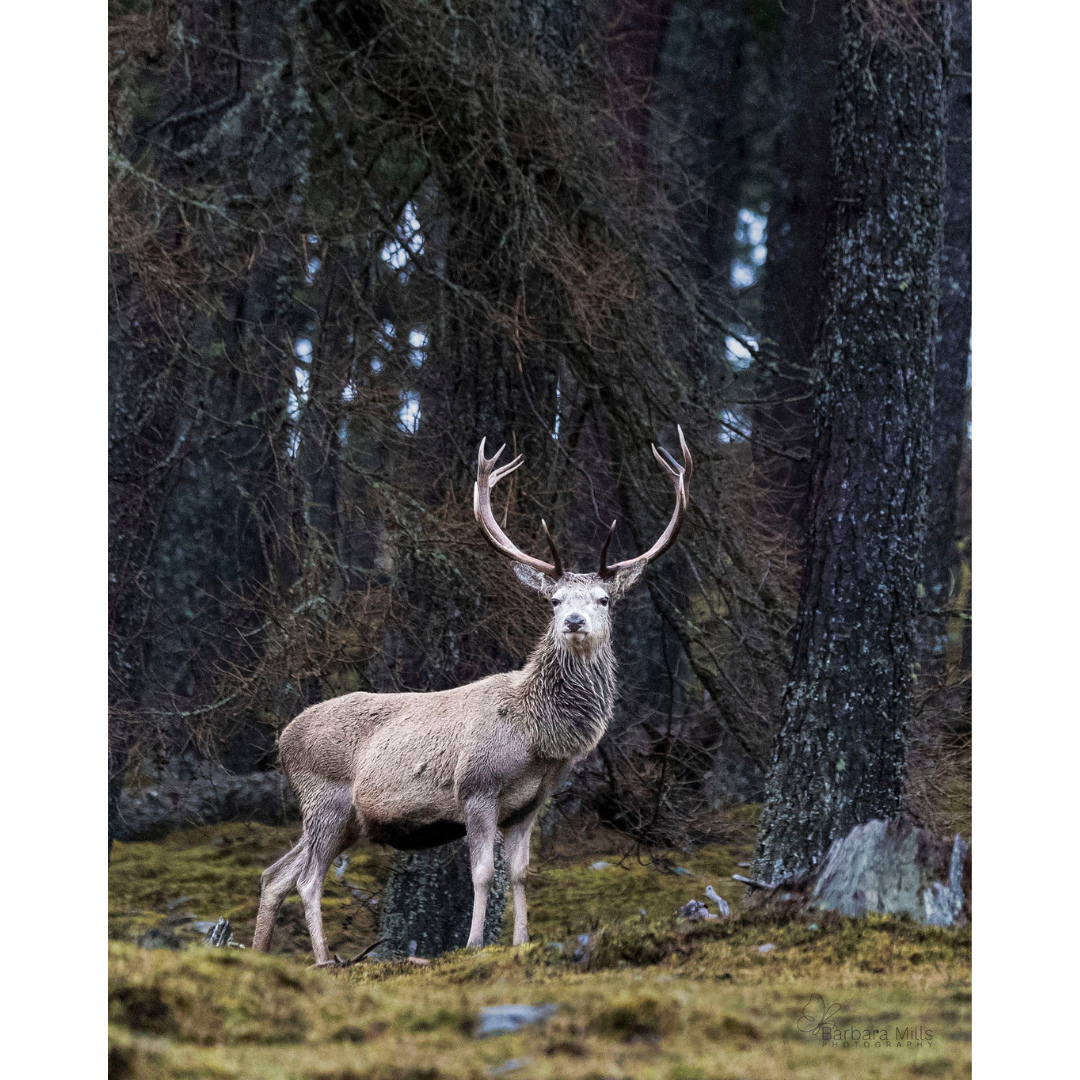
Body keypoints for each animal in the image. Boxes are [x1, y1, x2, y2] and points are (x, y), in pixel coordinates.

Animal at [251, 429, 692, 965]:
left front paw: (521, 941)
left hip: (346, 818)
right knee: (308, 879)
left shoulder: (531, 804)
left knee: (276, 874)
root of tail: (282, 741)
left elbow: (520, 873)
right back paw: (322, 958)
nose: (573, 622)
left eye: (603, 600)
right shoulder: (476, 788)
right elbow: (481, 874)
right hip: (325, 798)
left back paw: (259, 952)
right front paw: (474, 943)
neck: (536, 736)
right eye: (554, 600)